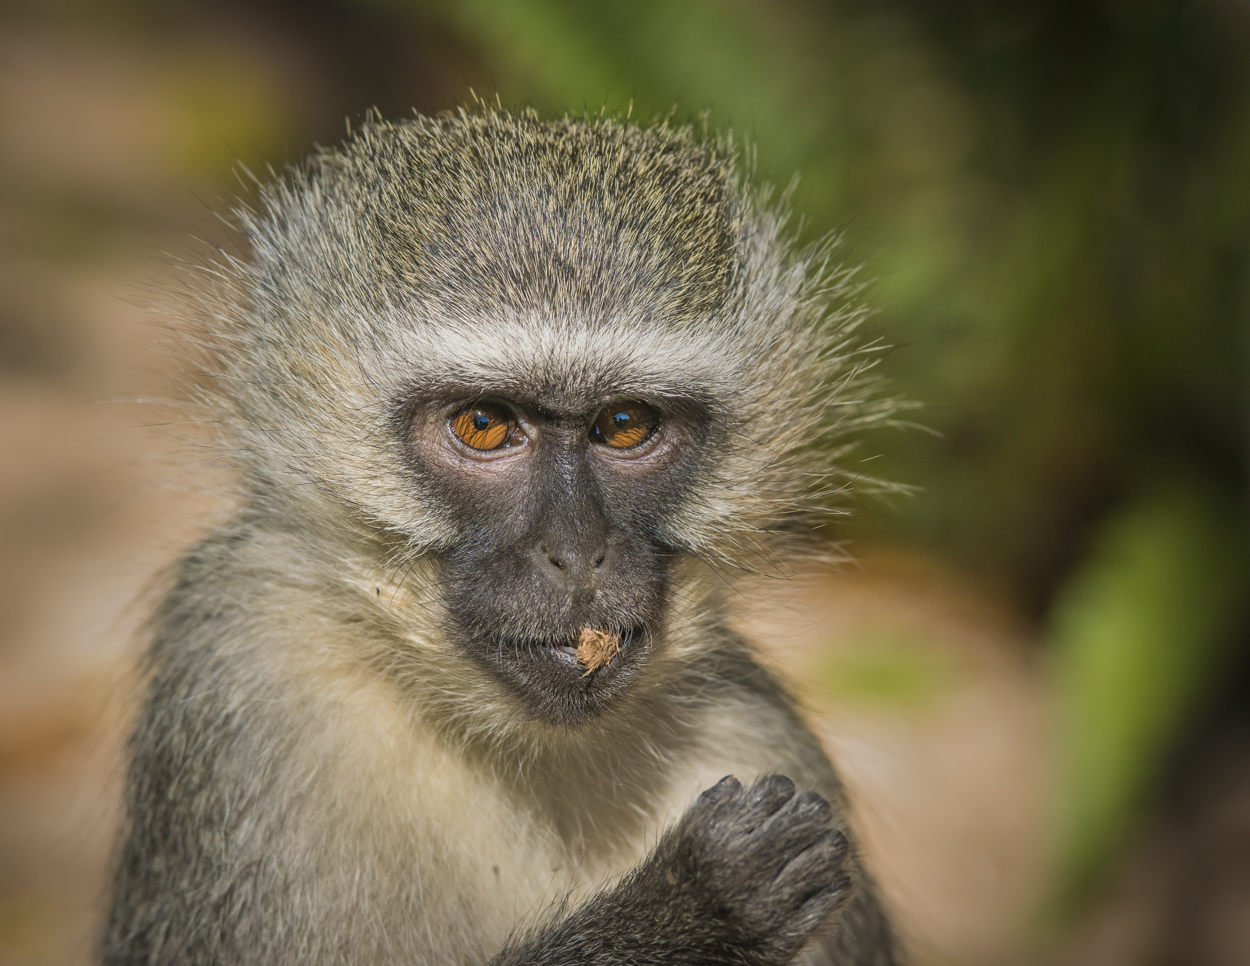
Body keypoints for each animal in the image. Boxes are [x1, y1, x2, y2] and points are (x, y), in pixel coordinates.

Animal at [102, 109, 895, 959]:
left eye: (625, 424)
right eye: (483, 424)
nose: (578, 553)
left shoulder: (756, 735)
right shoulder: (238, 669)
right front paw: (693, 907)